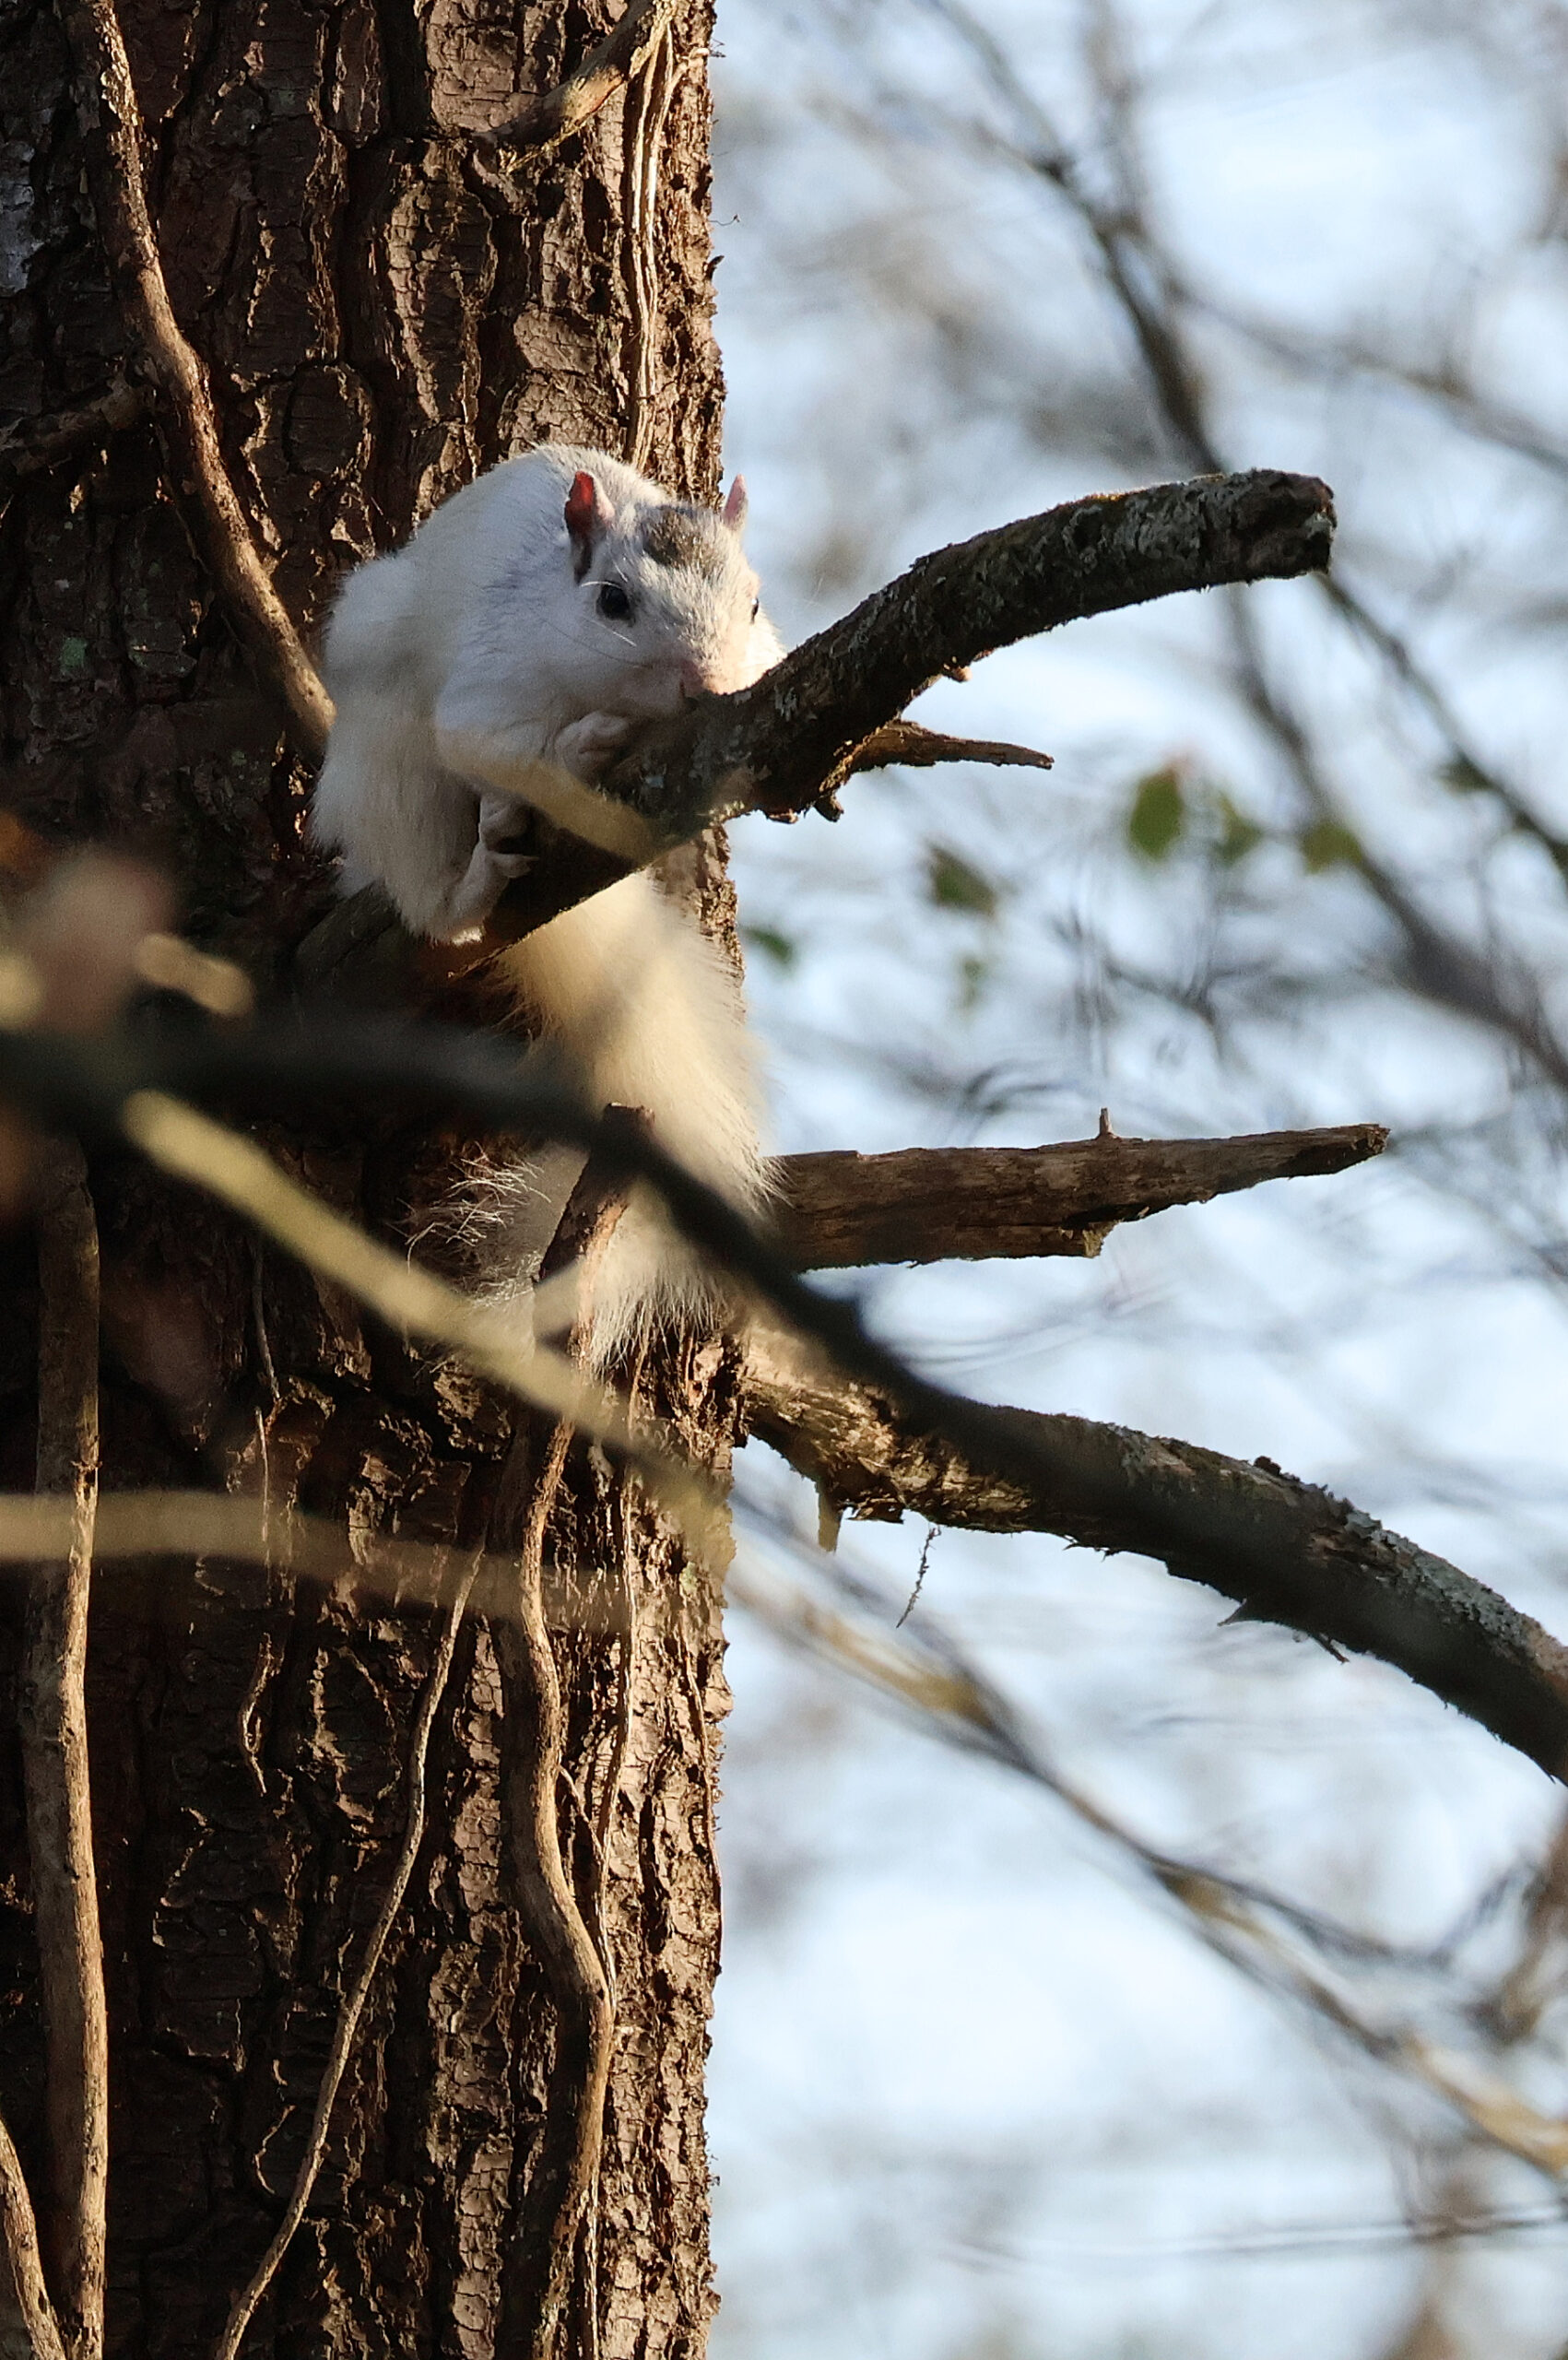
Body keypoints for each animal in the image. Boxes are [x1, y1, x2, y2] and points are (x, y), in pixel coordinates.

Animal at [310, 442, 785, 1359]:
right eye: (612, 602)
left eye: (752, 603)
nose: (706, 684)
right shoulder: (490, 691)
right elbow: (501, 746)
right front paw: (578, 747)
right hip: (388, 758)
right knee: (433, 898)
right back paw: (471, 878)